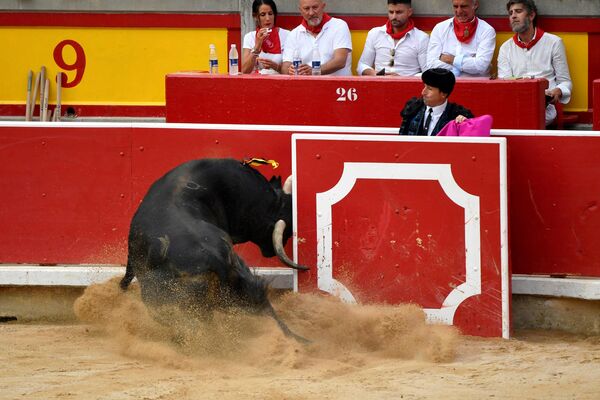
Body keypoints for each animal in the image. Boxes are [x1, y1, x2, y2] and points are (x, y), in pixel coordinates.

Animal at [120, 158, 312, 342]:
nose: (271, 250)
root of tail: (216, 260)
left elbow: (126, 277)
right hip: (244, 281)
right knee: (265, 307)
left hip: (163, 300)